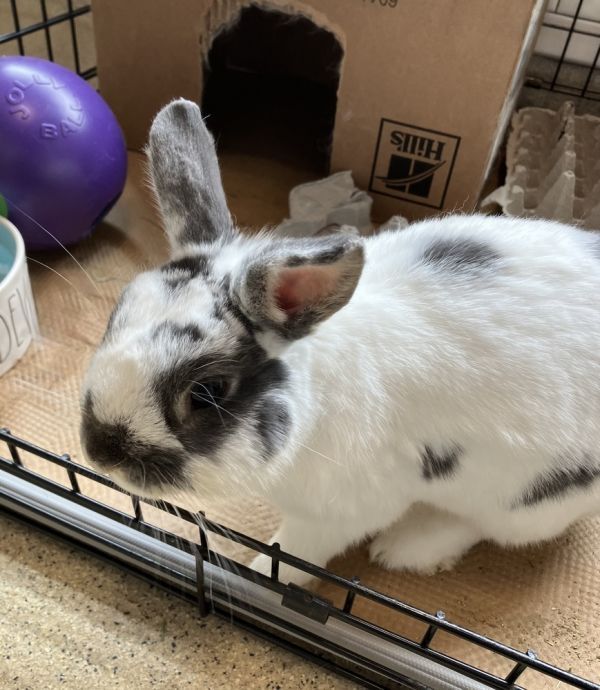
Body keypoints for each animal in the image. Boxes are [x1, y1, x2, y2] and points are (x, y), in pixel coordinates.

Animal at [81, 98, 600, 586]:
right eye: (118, 312)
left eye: (207, 393)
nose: (98, 451)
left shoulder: (339, 512)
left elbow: (292, 553)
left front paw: (261, 576)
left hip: (522, 499)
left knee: (478, 525)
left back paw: (404, 551)